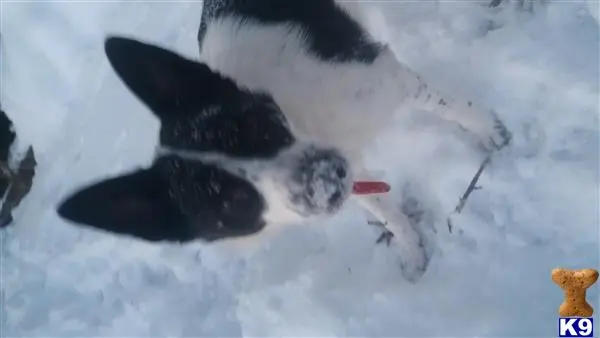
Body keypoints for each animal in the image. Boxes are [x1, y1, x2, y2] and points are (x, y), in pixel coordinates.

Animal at [56, 0, 508, 282]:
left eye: (258, 128)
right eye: (233, 205)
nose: (327, 178)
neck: (302, 119)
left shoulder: (386, 77)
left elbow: (448, 105)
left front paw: (487, 128)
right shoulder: (356, 173)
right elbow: (387, 213)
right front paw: (412, 249)